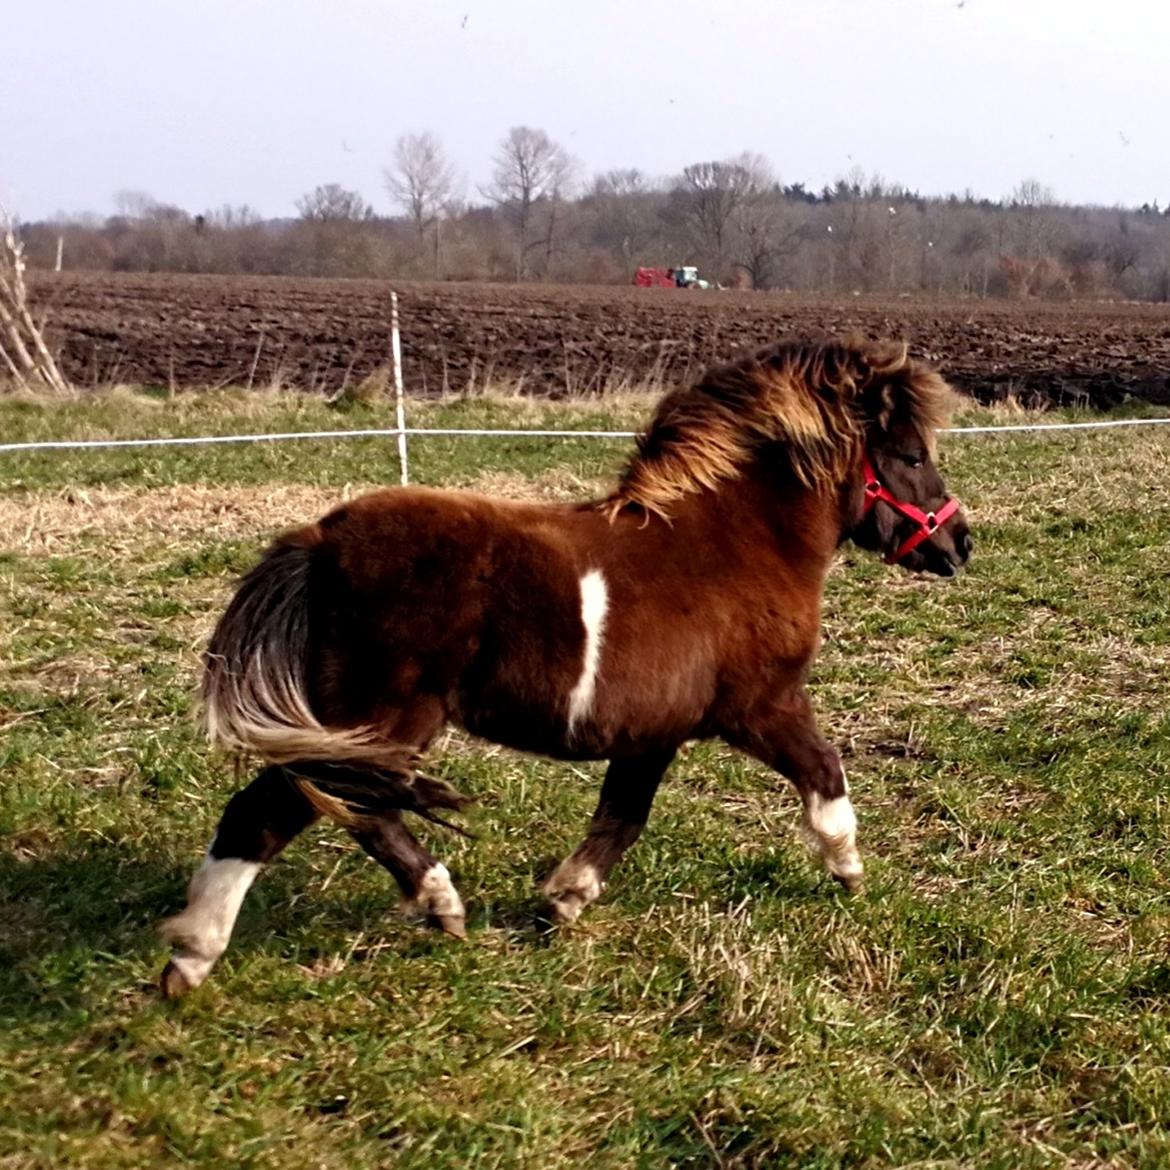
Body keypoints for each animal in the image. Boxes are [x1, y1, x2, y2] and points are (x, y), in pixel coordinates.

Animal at [160, 336, 973, 996]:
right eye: (910, 456)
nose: (960, 543)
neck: (737, 544)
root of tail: (320, 541)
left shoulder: (654, 733)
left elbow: (622, 816)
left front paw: (562, 902)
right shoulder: (762, 707)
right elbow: (825, 777)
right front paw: (849, 872)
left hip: (365, 729)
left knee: (352, 807)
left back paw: (441, 906)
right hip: (375, 717)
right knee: (272, 808)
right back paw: (193, 957)